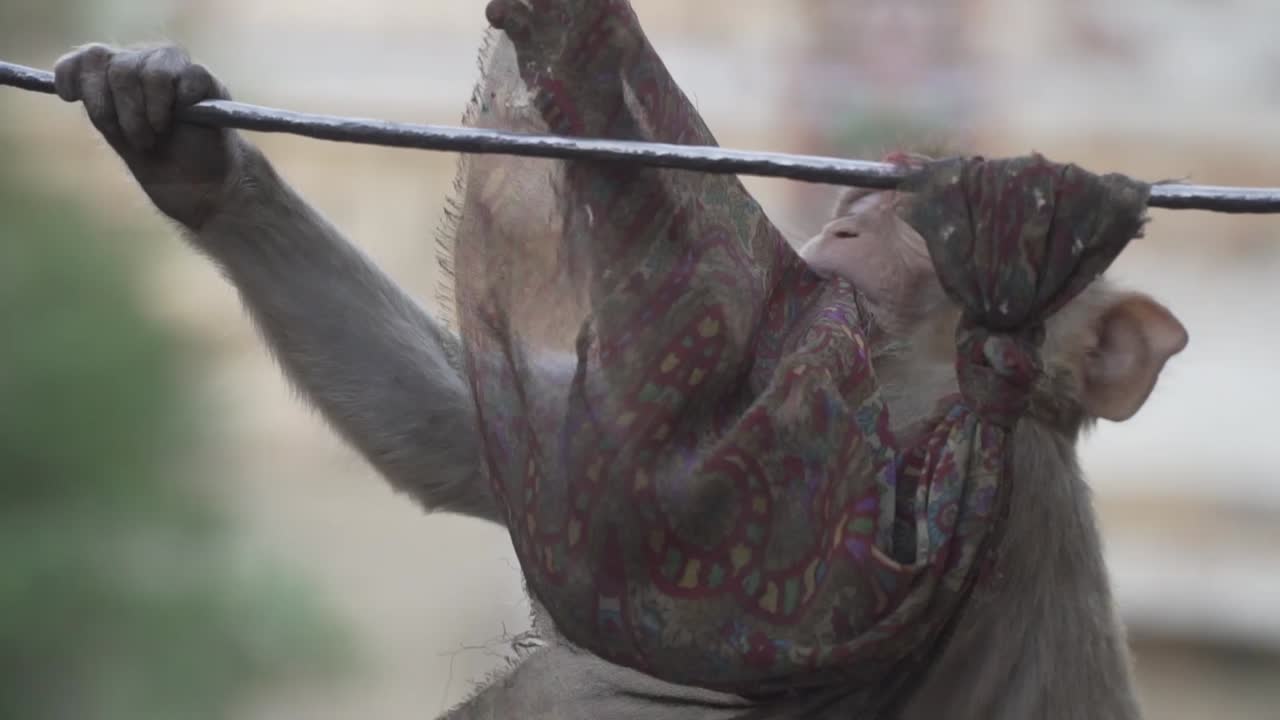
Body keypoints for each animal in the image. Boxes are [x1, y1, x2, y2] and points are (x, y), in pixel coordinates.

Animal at [53, 42, 1187, 720]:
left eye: (923, 217)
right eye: (876, 192)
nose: (847, 225)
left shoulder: (973, 498)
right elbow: (509, 458)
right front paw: (184, 147)